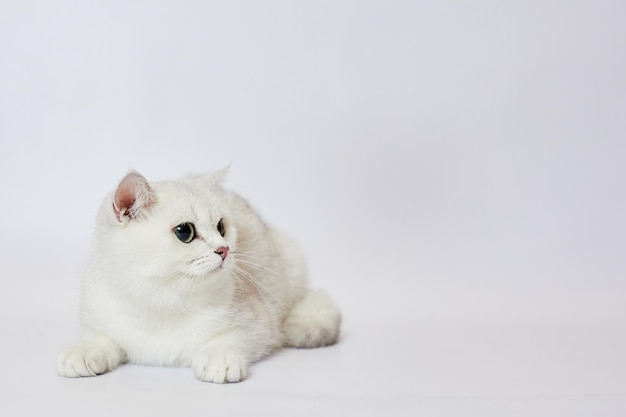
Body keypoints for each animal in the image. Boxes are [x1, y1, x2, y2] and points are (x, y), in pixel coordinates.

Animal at [57, 167, 342, 382]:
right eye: (185, 232)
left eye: (221, 227)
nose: (224, 250)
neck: (161, 299)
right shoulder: (97, 316)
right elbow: (98, 338)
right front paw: (83, 353)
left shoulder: (260, 325)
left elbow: (231, 338)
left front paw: (219, 358)